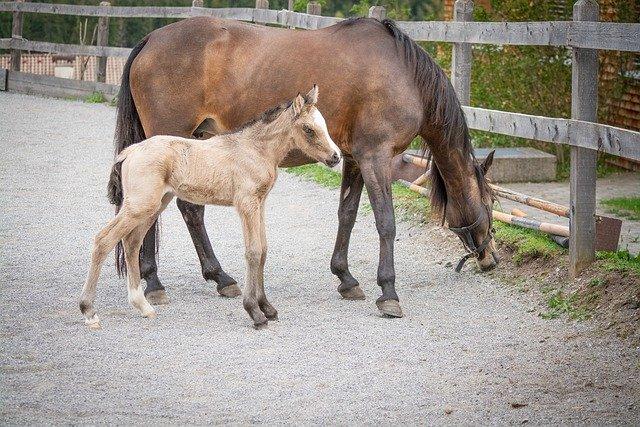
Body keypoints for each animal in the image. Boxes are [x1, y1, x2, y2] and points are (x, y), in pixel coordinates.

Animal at [81, 85, 340, 330]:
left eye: (324, 124)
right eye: (308, 129)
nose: (336, 157)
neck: (254, 149)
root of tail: (131, 150)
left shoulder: (260, 203)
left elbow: (264, 250)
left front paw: (267, 308)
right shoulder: (246, 204)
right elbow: (253, 252)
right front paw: (255, 313)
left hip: (154, 205)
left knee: (131, 242)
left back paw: (143, 306)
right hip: (140, 205)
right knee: (104, 240)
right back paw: (89, 312)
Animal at [112, 15, 498, 318]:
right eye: (491, 202)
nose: (491, 258)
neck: (402, 73)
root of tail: (150, 40)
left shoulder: (353, 158)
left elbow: (347, 215)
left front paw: (345, 278)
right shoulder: (376, 157)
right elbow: (385, 223)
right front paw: (388, 292)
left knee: (189, 210)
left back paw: (219, 278)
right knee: (155, 213)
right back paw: (155, 282)